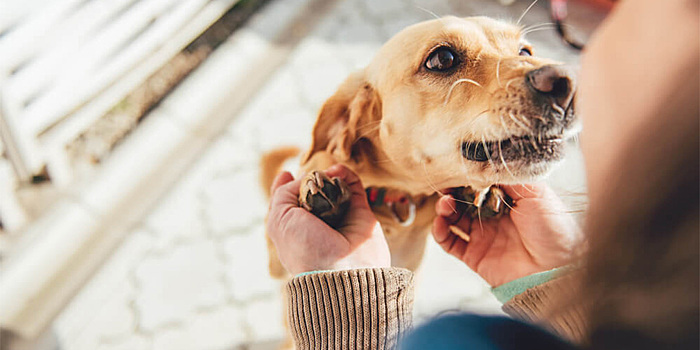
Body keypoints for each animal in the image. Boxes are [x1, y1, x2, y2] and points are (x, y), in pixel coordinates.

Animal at [262, 15, 580, 278]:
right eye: (442, 59)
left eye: (525, 51)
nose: (568, 85)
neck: (396, 197)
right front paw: (323, 201)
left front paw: (483, 192)